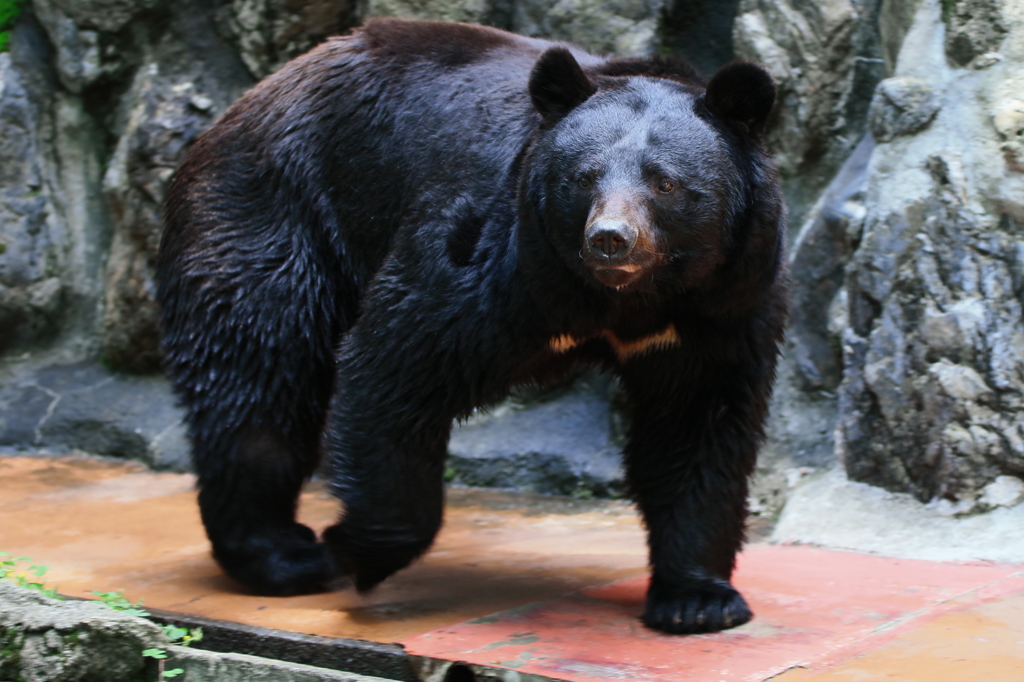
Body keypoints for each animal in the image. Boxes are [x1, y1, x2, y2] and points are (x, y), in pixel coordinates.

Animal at [156, 17, 786, 635]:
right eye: (584, 177)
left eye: (665, 182)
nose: (610, 239)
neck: (624, 300)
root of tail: (239, 110)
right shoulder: (494, 253)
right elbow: (397, 362)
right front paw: (359, 548)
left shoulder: (722, 304)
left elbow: (698, 425)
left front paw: (697, 600)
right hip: (273, 217)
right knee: (260, 376)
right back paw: (284, 556)